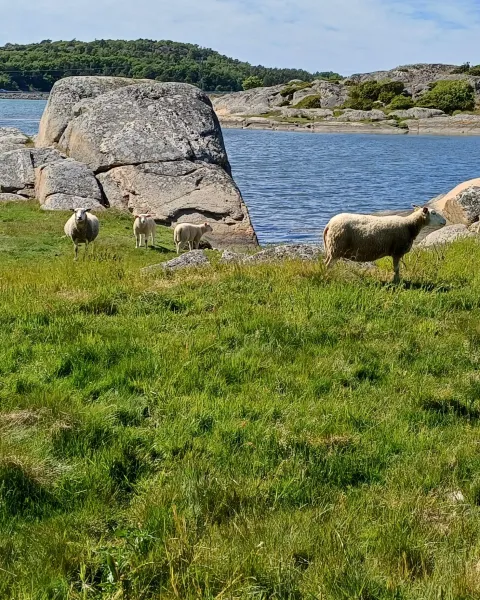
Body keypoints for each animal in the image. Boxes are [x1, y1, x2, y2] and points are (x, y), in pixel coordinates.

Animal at [320, 205, 448, 282]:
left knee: (326, 263)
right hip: (336, 248)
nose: (445, 221)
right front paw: (397, 282)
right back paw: (328, 278)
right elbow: (396, 269)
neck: (409, 225)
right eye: (434, 213)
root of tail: (329, 224)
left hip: (332, 249)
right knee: (328, 265)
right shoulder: (397, 251)